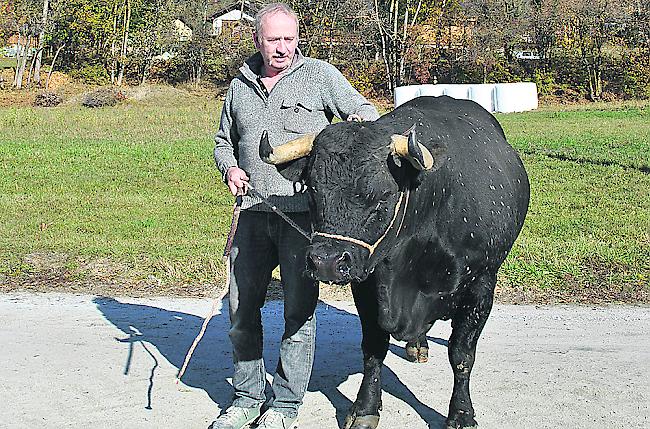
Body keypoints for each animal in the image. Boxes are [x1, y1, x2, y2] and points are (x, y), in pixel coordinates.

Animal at [258, 97, 528, 428]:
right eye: (313, 191)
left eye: (382, 196)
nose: (326, 262)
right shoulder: (367, 286)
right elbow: (374, 348)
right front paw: (365, 407)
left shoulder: (481, 285)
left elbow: (462, 355)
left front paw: (462, 413)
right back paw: (417, 345)